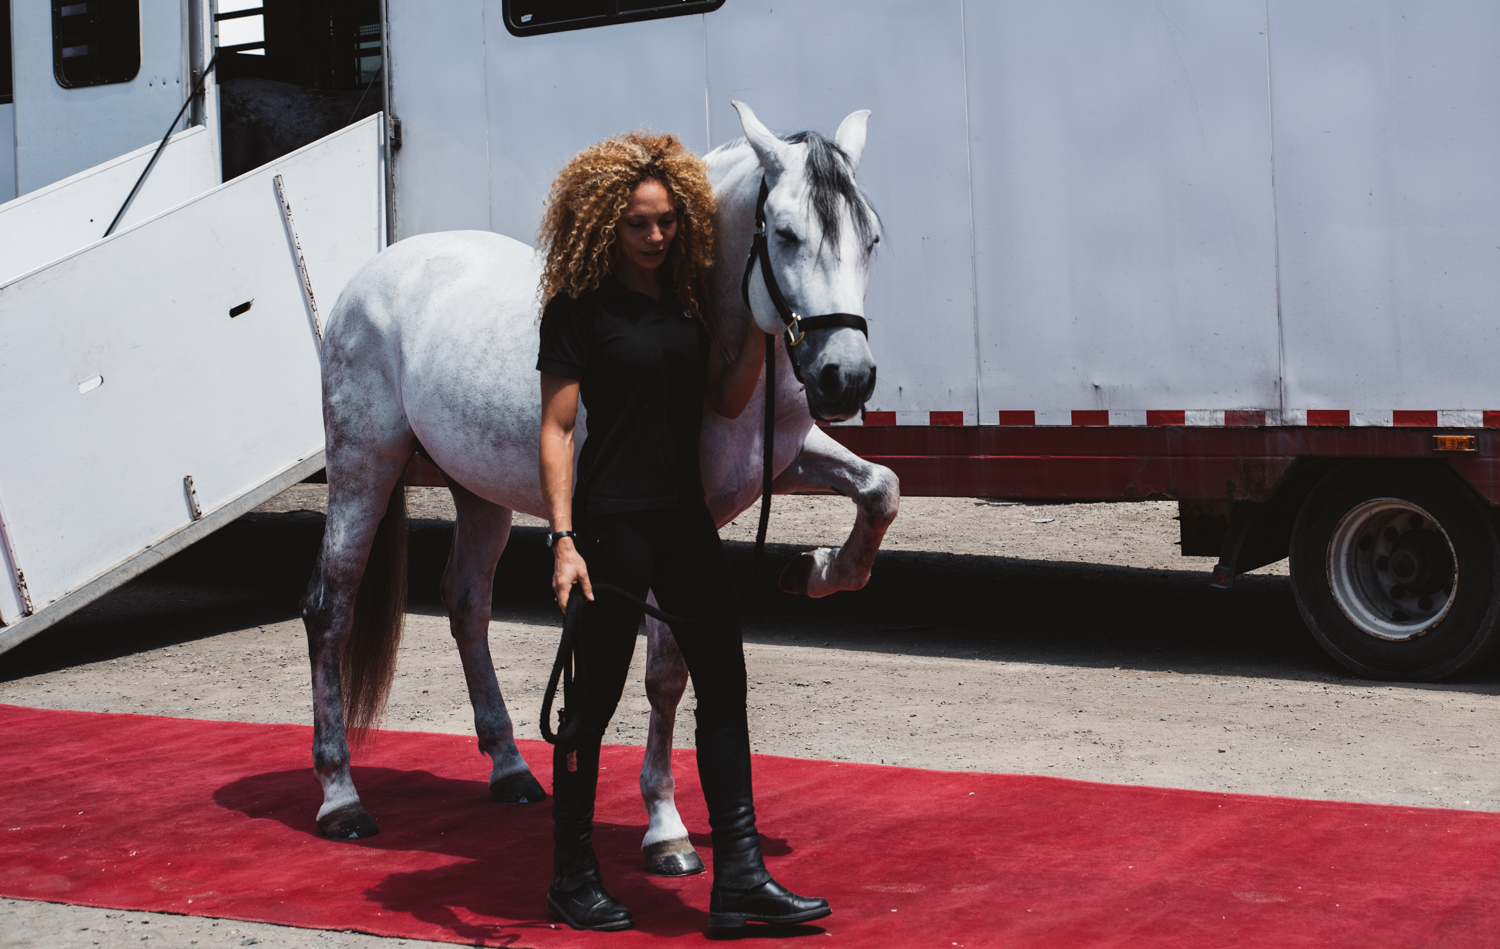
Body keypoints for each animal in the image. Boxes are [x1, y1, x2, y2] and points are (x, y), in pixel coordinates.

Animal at [298, 103, 894, 875]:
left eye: (870, 237)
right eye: (786, 233)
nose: (843, 378)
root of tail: (371, 276)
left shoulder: (783, 464)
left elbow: (881, 489)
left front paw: (817, 569)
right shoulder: (673, 522)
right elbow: (666, 674)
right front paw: (666, 828)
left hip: (479, 489)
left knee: (466, 604)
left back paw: (510, 770)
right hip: (363, 461)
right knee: (330, 607)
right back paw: (340, 797)